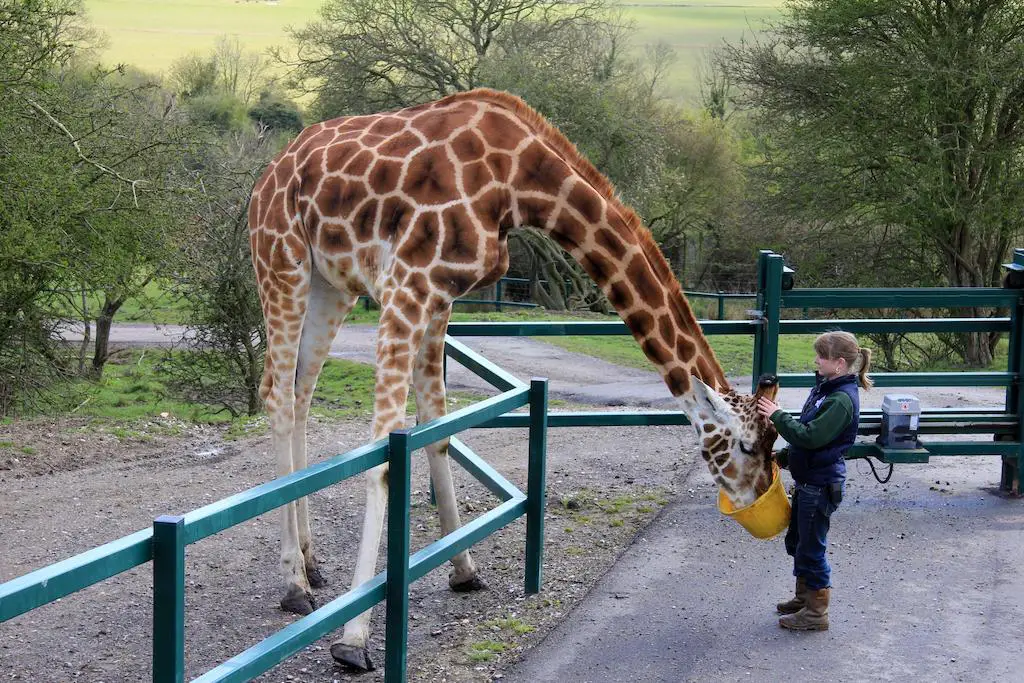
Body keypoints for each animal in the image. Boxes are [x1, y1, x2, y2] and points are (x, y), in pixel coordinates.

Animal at [247, 88, 774, 671]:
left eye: (776, 442)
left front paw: (464, 571)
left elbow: (439, 433)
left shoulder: (439, 296)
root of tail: (271, 172)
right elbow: (383, 459)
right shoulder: (407, 285)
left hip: (331, 283)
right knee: (276, 393)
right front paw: (354, 641)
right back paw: (294, 585)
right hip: (282, 263)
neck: (518, 182)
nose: (757, 502)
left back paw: (312, 564)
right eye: (746, 445)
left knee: (300, 392)